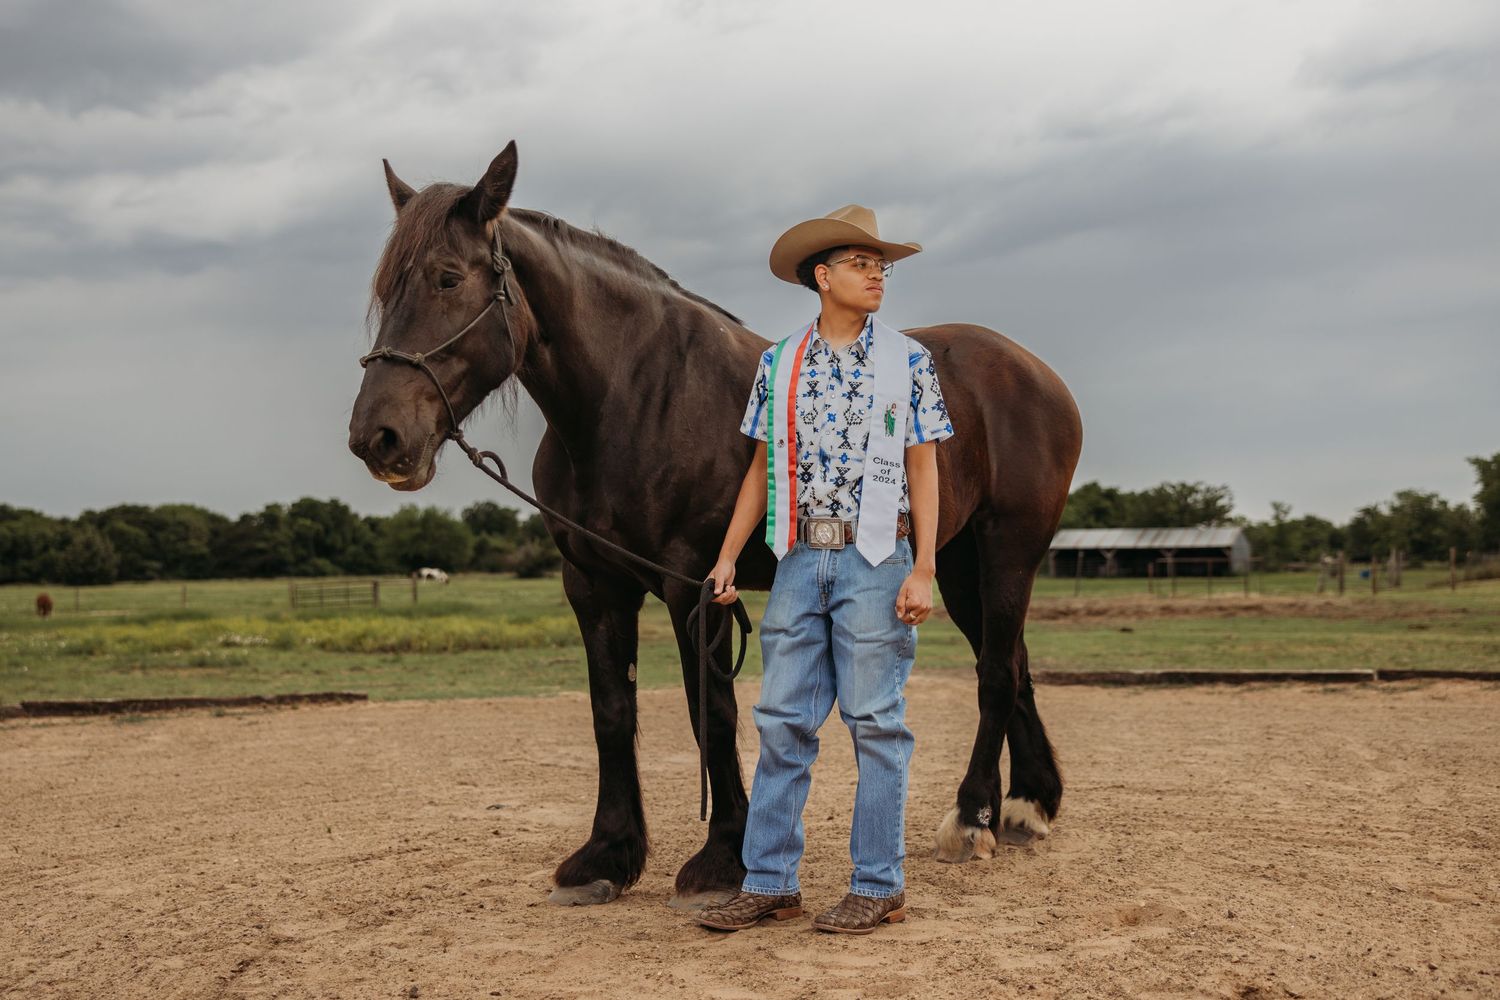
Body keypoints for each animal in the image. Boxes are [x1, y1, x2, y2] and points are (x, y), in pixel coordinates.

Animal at [348, 141, 1083, 907]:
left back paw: (972, 819)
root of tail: (1037, 374)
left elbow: (715, 711)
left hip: (1008, 552)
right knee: (1012, 665)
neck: (632, 396)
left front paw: (722, 855)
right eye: (386, 290)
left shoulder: (693, 584)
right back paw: (1026, 804)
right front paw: (607, 855)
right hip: (961, 565)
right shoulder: (594, 585)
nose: (378, 438)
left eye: (447, 277)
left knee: (996, 672)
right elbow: (612, 712)